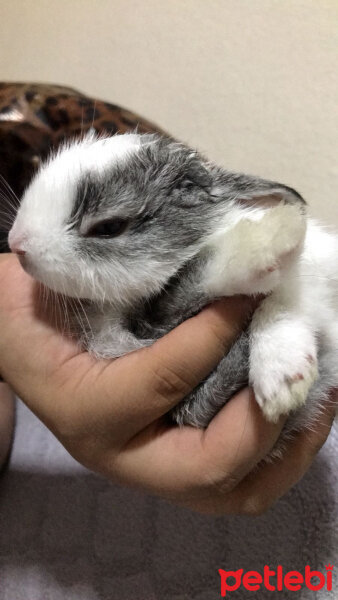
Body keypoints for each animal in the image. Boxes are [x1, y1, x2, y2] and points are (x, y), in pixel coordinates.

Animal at [7, 134, 338, 446]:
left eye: (109, 227)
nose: (16, 243)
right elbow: (189, 283)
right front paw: (271, 238)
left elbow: (278, 303)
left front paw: (282, 379)